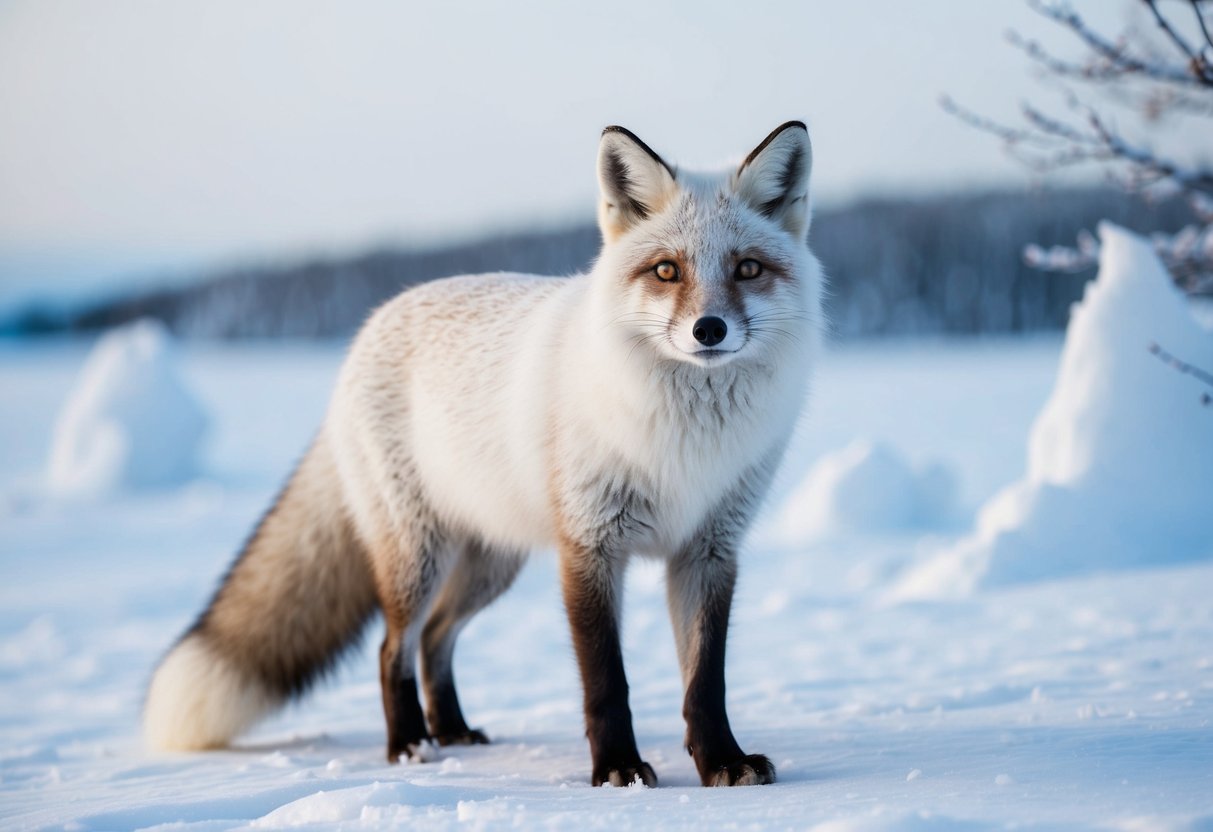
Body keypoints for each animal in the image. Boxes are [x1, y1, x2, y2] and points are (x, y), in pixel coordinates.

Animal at [144, 121, 823, 788]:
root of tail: (370, 327)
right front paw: (618, 771)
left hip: (491, 563)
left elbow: (706, 684)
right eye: (665, 271)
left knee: (434, 639)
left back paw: (451, 730)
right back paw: (409, 746)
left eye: (747, 269)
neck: (684, 441)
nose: (709, 330)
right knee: (393, 648)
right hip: (419, 556)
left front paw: (722, 762)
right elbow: (607, 681)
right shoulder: (590, 546)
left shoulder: (708, 550)